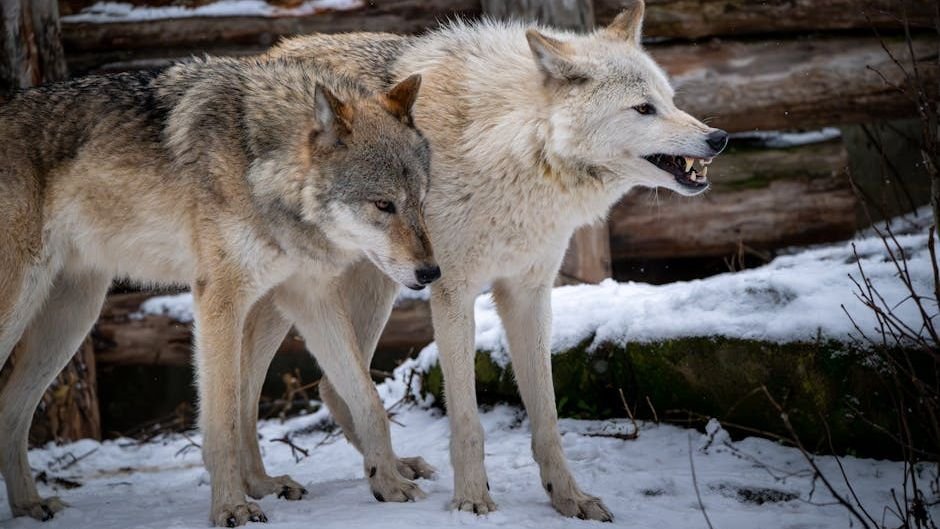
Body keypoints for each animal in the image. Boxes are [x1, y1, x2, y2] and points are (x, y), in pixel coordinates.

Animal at [0, 56, 439, 526]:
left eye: (420, 202)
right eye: (383, 205)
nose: (431, 272)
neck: (257, 165)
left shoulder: (309, 296)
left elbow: (368, 400)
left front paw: (387, 482)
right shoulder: (220, 300)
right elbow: (225, 419)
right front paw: (232, 507)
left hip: (75, 316)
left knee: (11, 410)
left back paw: (30, 505)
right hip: (24, 309)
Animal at [256, 0, 730, 521]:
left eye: (670, 100)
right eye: (643, 108)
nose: (719, 137)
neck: (515, 146)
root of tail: (270, 53)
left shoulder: (528, 294)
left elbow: (547, 418)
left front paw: (569, 498)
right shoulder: (452, 292)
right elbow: (467, 419)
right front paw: (471, 500)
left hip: (377, 286)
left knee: (331, 386)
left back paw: (390, 470)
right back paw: (258, 488)